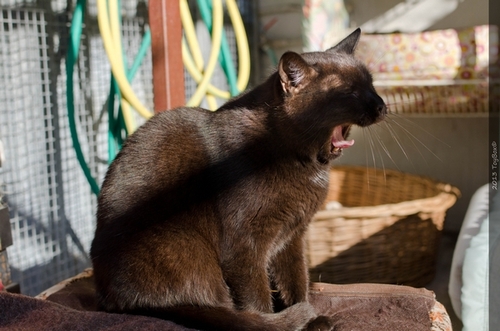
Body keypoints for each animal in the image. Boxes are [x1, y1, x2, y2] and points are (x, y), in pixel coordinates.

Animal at [91, 29, 386, 331]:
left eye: (371, 85)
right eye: (349, 92)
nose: (381, 105)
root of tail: (115, 300)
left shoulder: (293, 236)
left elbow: (297, 280)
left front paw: (310, 316)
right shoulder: (244, 244)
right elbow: (257, 299)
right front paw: (290, 320)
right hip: (188, 249)